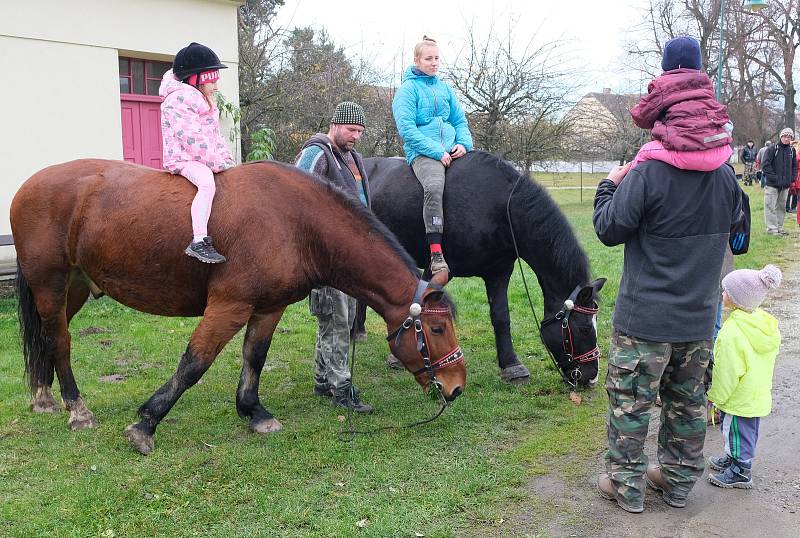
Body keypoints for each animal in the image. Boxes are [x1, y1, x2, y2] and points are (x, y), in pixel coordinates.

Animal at [10, 159, 462, 452]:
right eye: (436, 329)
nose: (456, 387)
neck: (296, 222)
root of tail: (28, 185)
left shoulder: (267, 308)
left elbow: (254, 357)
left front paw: (254, 411)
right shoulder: (228, 306)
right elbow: (194, 363)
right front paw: (146, 423)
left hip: (74, 287)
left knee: (49, 338)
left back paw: (44, 396)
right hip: (51, 286)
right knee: (61, 342)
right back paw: (76, 408)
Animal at [360, 151, 604, 386]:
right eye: (583, 328)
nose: (591, 377)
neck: (498, 207)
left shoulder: (498, 272)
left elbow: (501, 317)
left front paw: (512, 365)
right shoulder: (435, 273)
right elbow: (417, 308)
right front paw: (397, 358)